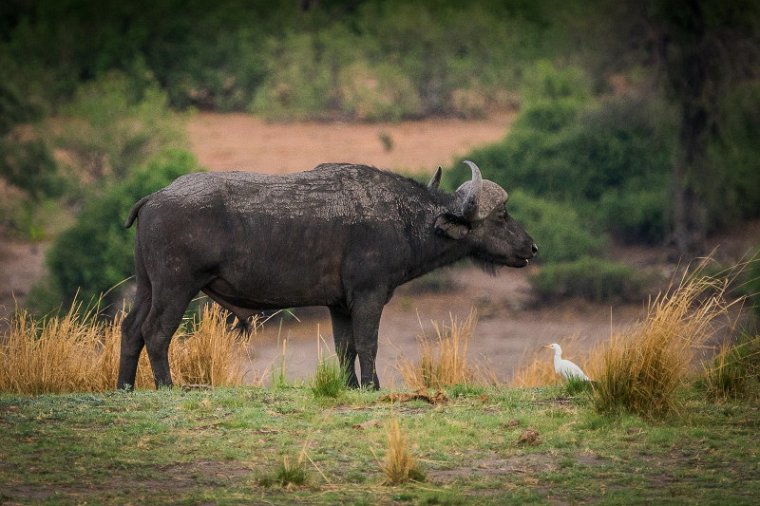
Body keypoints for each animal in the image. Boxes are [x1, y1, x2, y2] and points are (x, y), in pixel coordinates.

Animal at [117, 160, 536, 390]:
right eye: (502, 215)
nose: (532, 248)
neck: (404, 218)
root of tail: (156, 197)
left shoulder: (339, 305)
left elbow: (344, 347)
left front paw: (351, 386)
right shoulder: (369, 295)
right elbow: (367, 344)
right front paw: (372, 387)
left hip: (148, 287)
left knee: (131, 328)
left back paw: (125, 387)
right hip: (176, 287)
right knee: (156, 331)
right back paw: (166, 386)